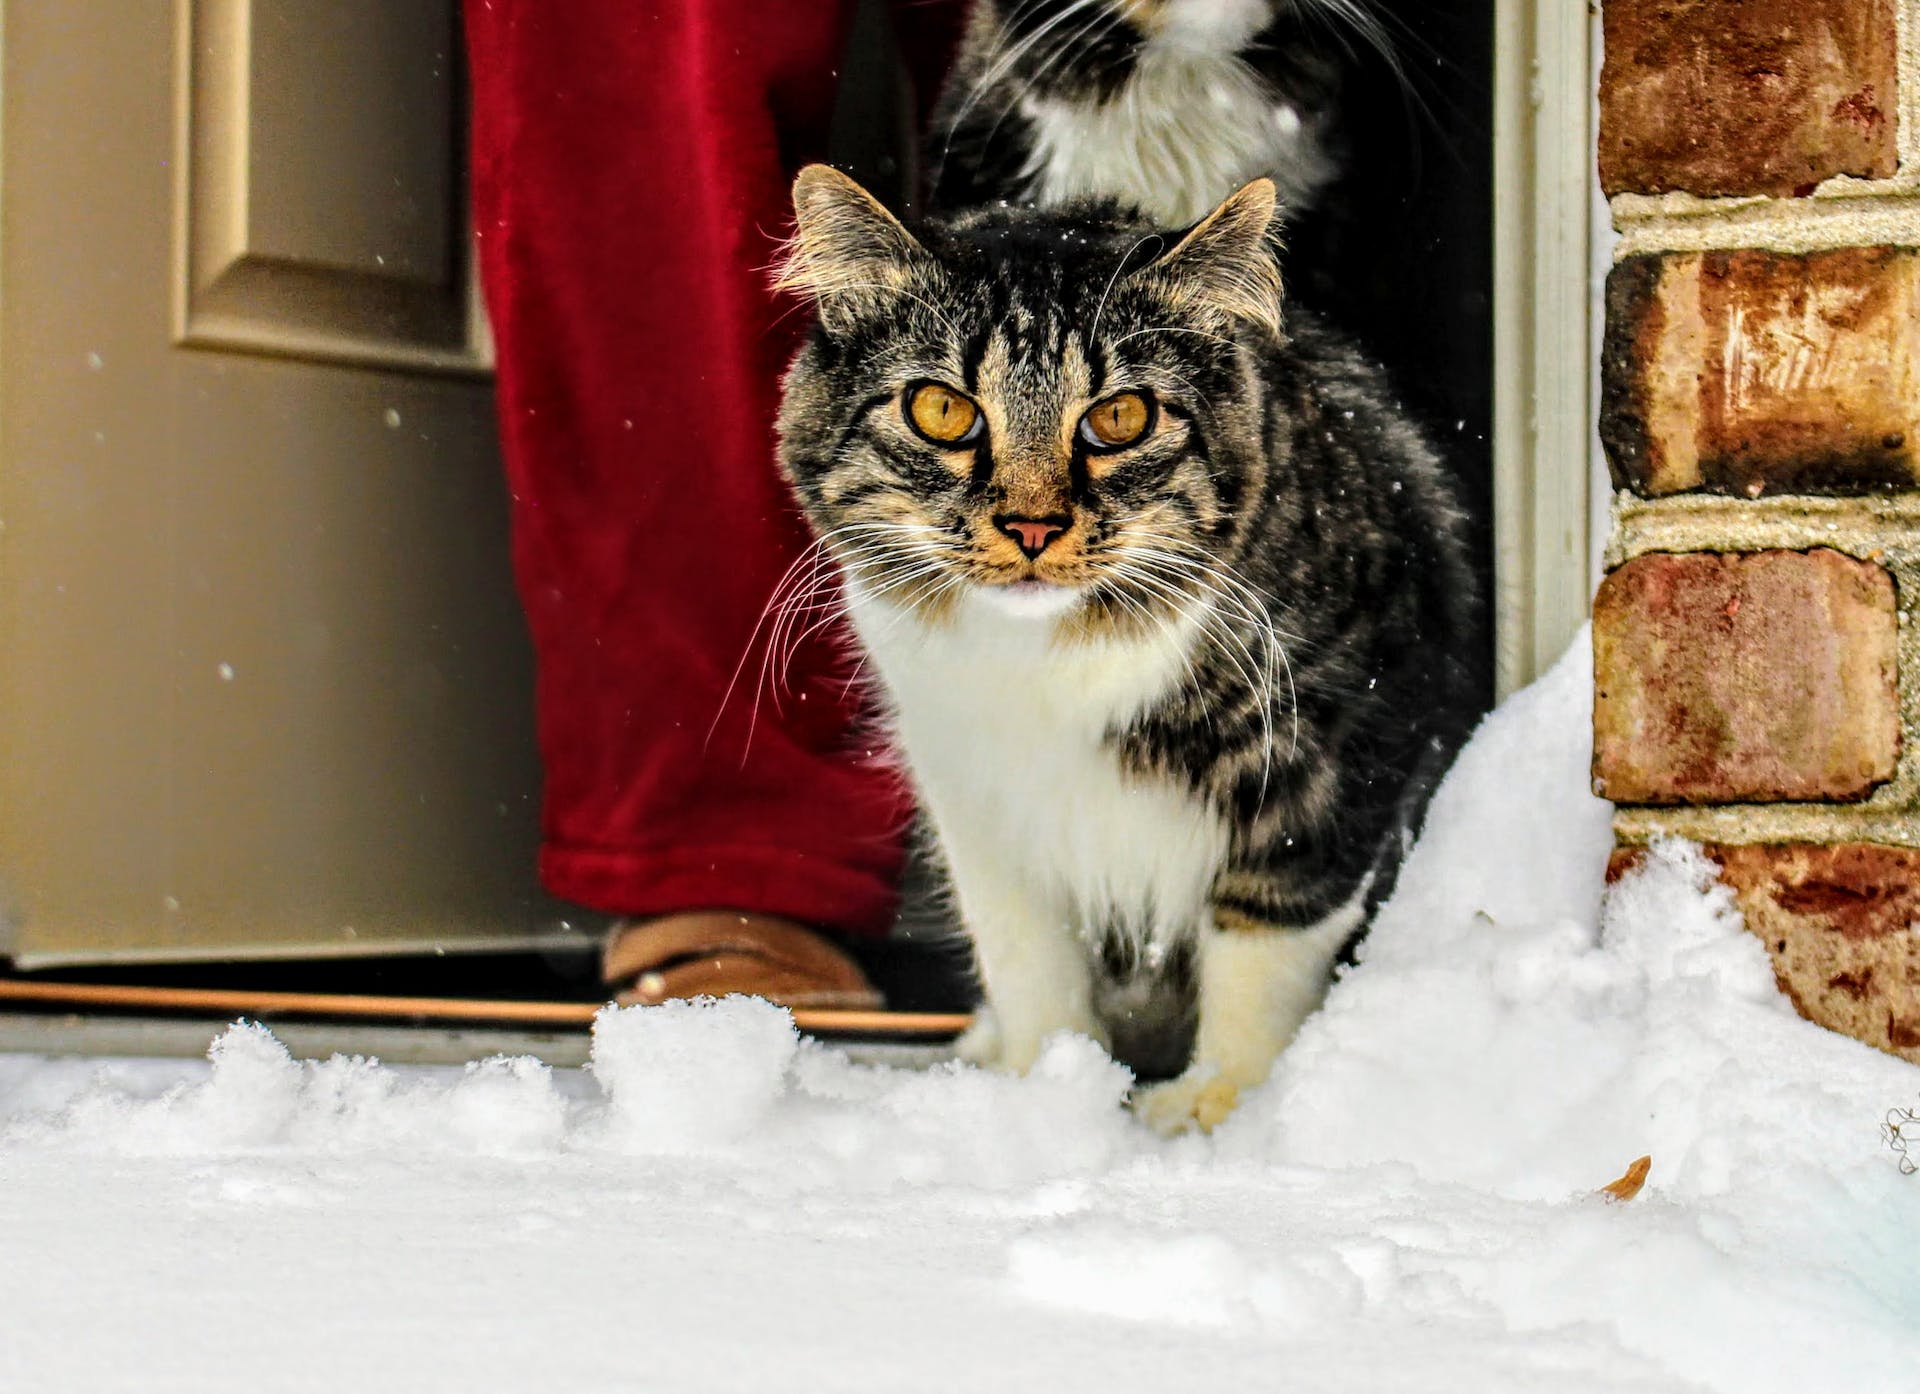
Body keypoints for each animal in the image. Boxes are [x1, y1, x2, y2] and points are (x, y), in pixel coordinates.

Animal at [771, 166, 1459, 1136]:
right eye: (941, 410)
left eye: (1121, 417)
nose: (1031, 526)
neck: (1047, 662)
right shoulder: (973, 792)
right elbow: (1028, 957)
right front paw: (1048, 1093)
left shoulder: (1342, 736)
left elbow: (1265, 938)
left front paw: (1216, 1107)